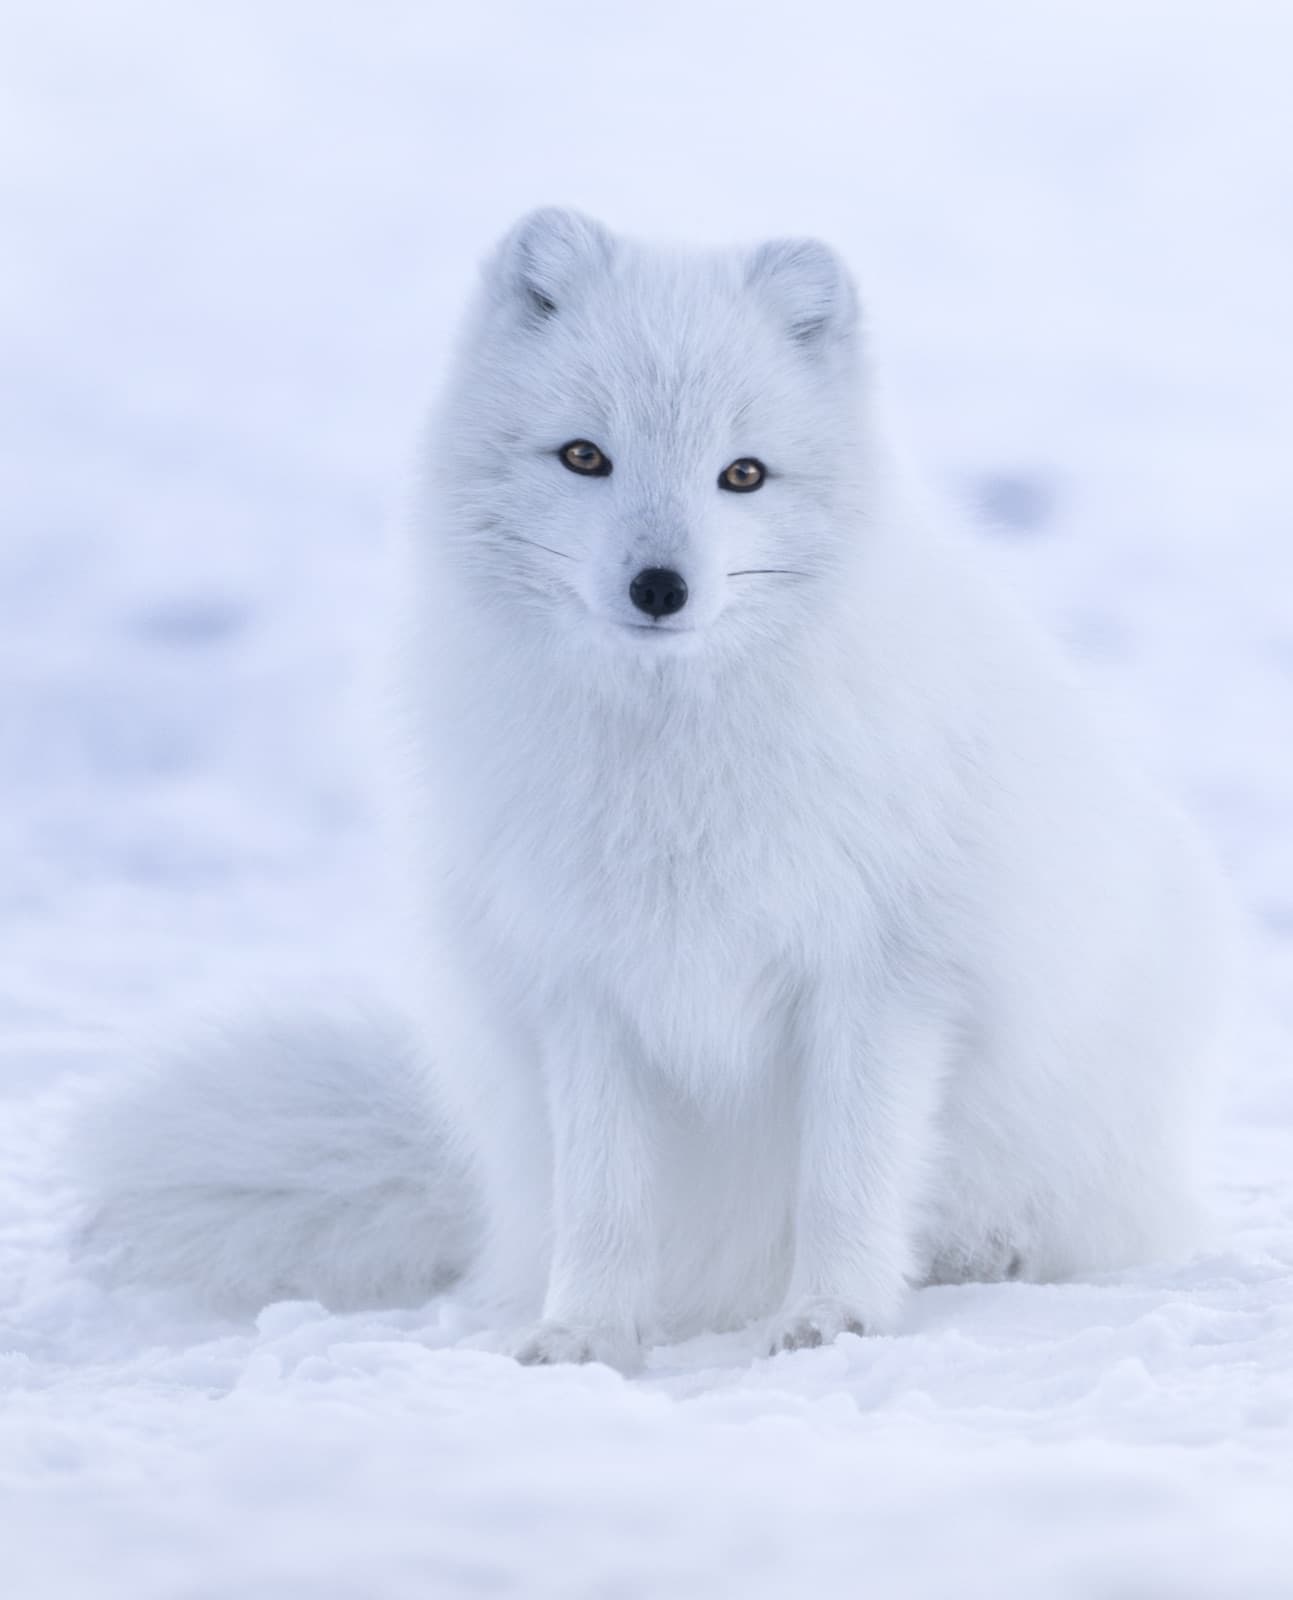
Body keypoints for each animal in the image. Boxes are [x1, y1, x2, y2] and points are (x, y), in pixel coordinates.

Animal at [78, 209, 1231, 1370]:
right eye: (586, 456)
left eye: (744, 474)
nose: (660, 587)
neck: (672, 762)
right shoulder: (581, 983)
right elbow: (604, 1197)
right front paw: (584, 1333)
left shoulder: (881, 975)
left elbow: (848, 1175)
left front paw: (834, 1316)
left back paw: (981, 1251)